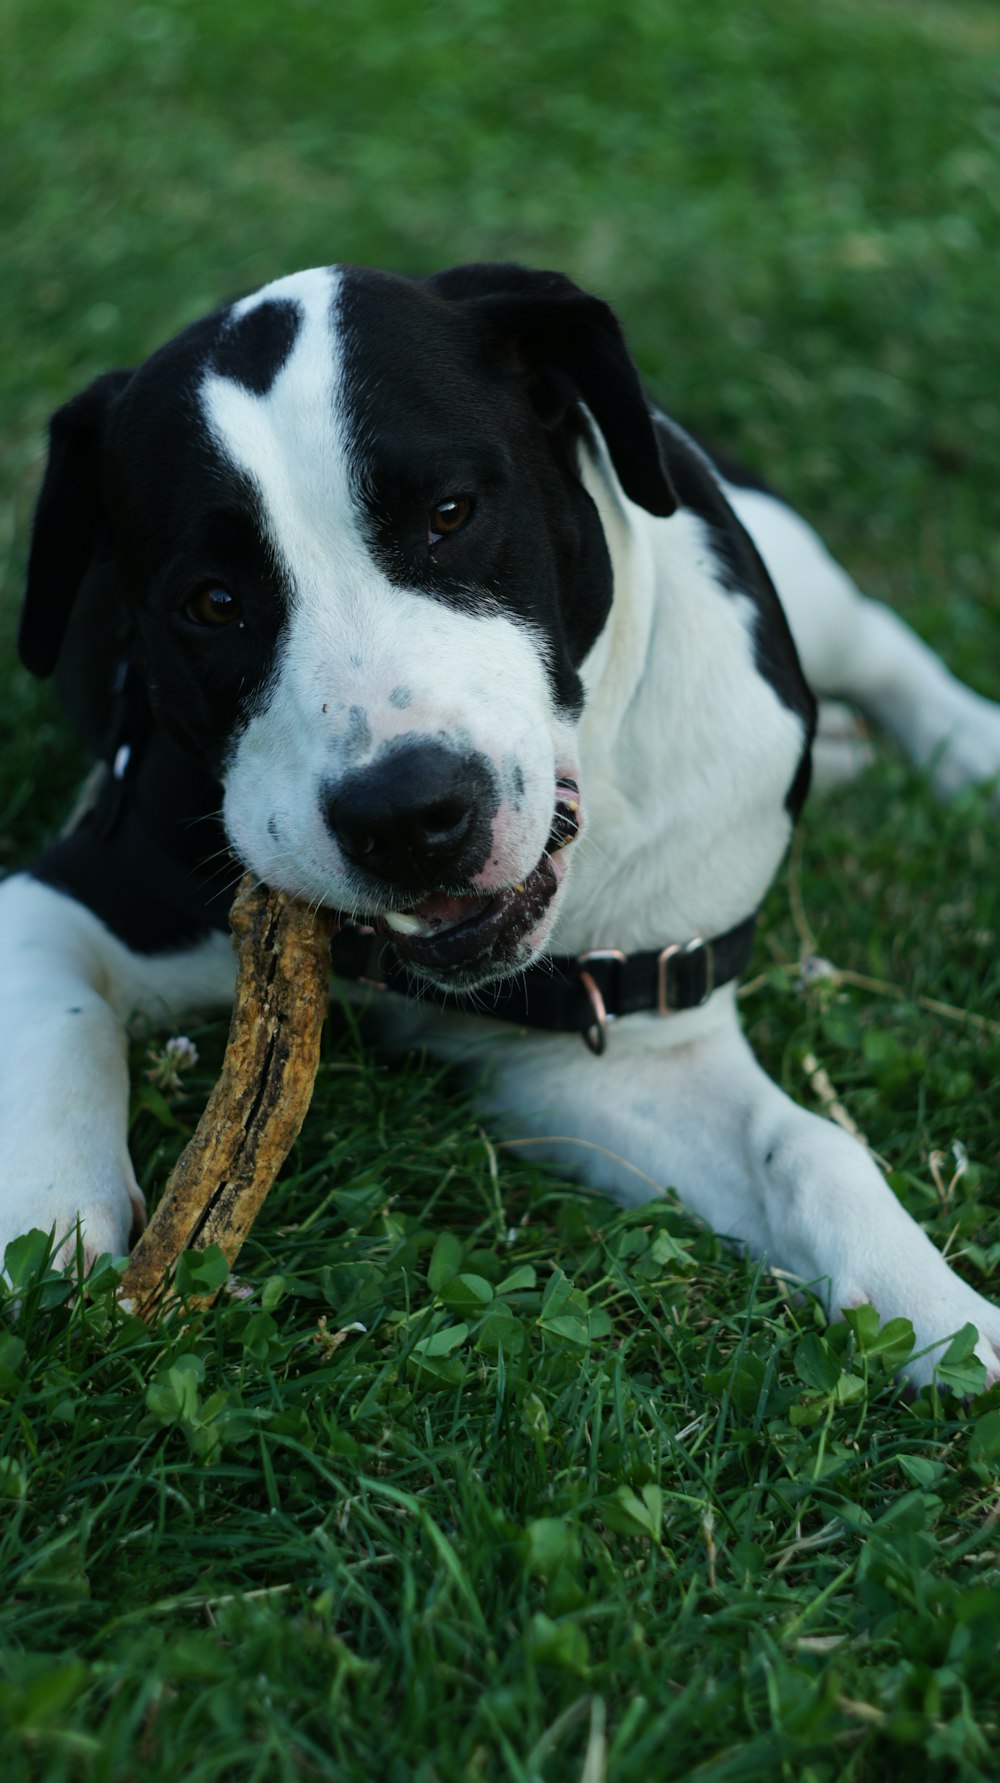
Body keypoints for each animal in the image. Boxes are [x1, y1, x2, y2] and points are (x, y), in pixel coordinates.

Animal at [1, 260, 998, 1390]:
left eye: (450, 512)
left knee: (876, 638)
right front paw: (50, 1211)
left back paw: (970, 744)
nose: (406, 816)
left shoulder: (638, 1016)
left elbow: (815, 1149)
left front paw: (950, 1316)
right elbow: (60, 1027)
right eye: (212, 603)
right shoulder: (67, 895)